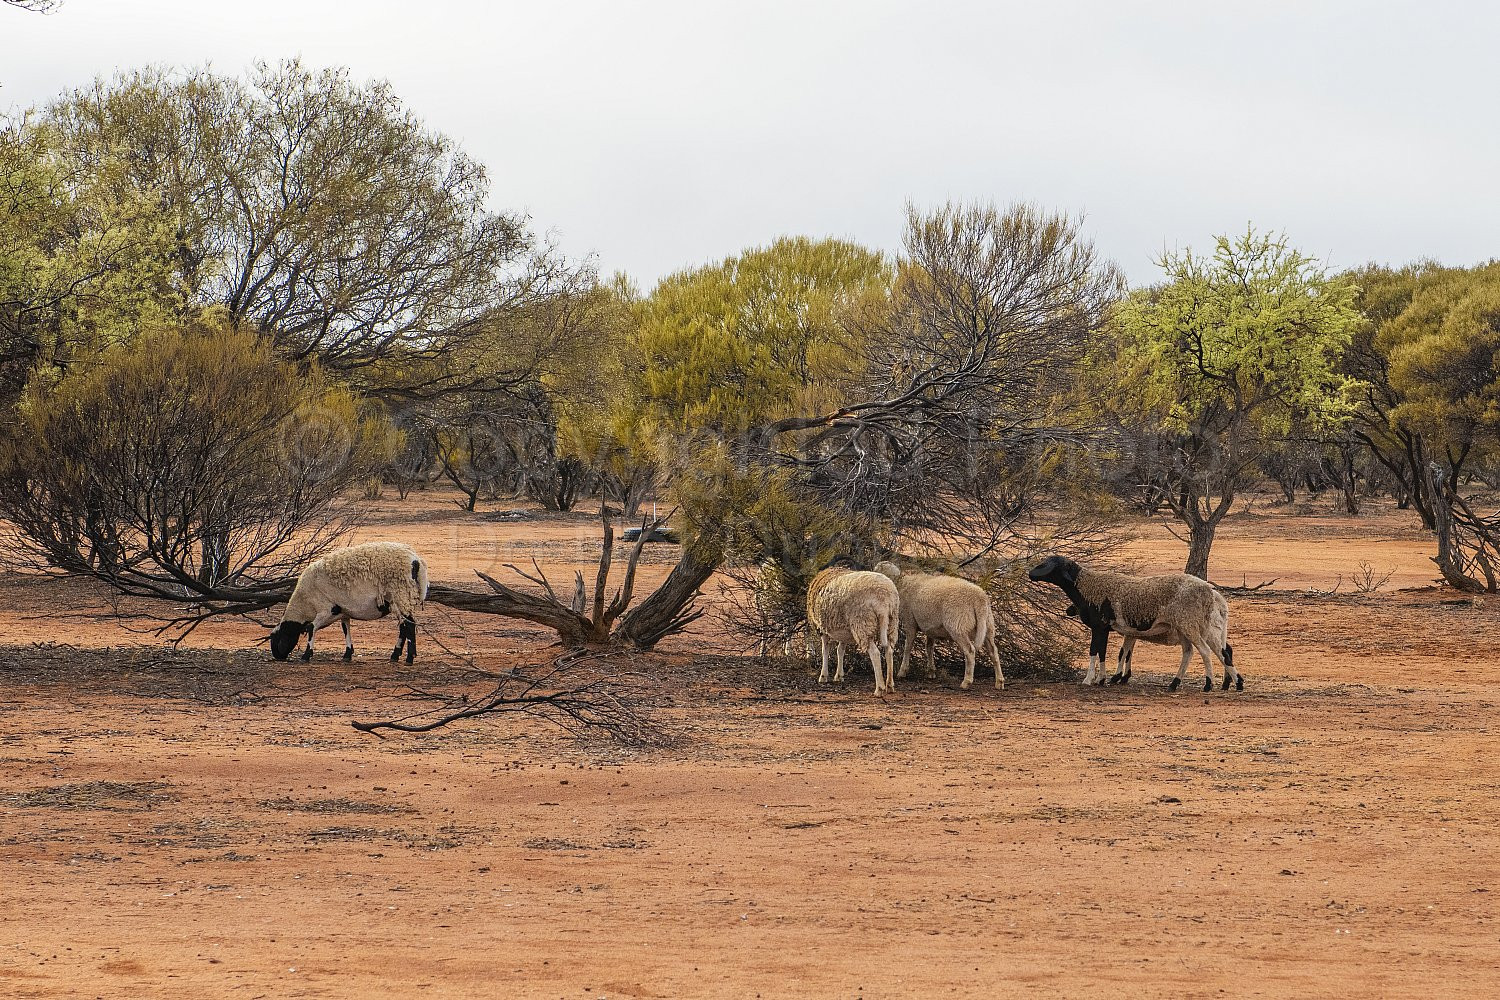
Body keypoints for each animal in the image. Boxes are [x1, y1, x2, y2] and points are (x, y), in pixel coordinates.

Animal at [269, 542, 430, 664]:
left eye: (278, 638)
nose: (278, 657)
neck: (304, 603)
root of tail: (417, 561)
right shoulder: (343, 610)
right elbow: (345, 628)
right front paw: (347, 654)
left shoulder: (326, 608)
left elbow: (311, 628)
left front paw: (306, 655)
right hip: (399, 600)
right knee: (404, 626)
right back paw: (395, 655)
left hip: (401, 594)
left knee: (409, 626)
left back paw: (409, 658)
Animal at [805, 558, 901, 694]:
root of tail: (883, 599)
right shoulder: (844, 628)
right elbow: (840, 650)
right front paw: (839, 676)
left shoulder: (821, 627)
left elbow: (825, 650)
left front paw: (823, 676)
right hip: (891, 623)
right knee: (889, 650)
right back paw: (889, 685)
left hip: (862, 623)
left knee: (875, 653)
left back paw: (879, 688)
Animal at [874, 561, 1005, 690]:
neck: (902, 584)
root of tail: (979, 599)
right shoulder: (930, 628)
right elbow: (929, 647)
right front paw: (931, 672)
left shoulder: (910, 620)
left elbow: (908, 646)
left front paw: (902, 671)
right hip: (988, 627)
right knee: (993, 651)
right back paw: (999, 682)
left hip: (958, 626)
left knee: (970, 651)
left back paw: (966, 682)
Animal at [1027, 555, 1240, 692]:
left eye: (1049, 564)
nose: (1030, 574)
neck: (1087, 587)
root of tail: (1212, 594)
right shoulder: (1110, 629)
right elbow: (1110, 652)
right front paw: (1104, 679)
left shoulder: (1099, 626)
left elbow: (1096, 652)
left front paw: (1090, 679)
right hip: (1189, 628)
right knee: (1206, 652)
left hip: (1193, 626)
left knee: (1207, 651)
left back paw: (1209, 685)